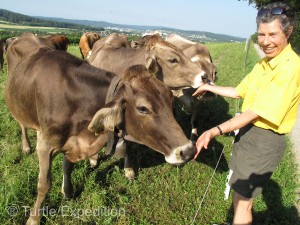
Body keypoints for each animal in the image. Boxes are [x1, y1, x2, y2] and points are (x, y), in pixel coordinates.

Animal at [5, 32, 196, 224]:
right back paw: (26, 146)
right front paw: (34, 218)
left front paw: (67, 191)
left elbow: (67, 166)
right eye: (143, 108)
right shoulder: (46, 145)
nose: (188, 150)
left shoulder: (72, 142)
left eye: (170, 100)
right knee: (22, 125)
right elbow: (44, 184)